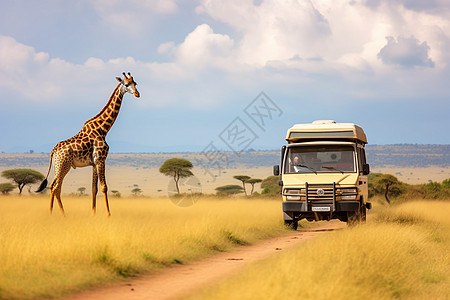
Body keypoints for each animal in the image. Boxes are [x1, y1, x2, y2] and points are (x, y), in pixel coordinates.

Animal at [36, 72, 140, 216]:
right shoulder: (101, 160)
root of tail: (53, 151)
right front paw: (108, 214)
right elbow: (104, 187)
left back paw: (57, 213)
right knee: (55, 187)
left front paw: (93, 213)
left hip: (59, 166)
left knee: (54, 187)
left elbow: (93, 189)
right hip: (63, 166)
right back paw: (58, 214)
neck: (103, 129)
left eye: (135, 83)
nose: (137, 93)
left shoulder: (94, 163)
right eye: (126, 84)